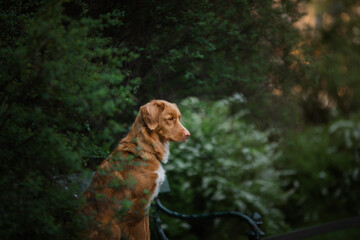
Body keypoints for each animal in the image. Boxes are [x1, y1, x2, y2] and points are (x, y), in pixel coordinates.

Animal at [81, 100, 188, 240]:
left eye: (179, 118)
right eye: (170, 119)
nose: (188, 135)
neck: (145, 149)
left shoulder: (146, 207)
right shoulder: (137, 208)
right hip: (113, 229)